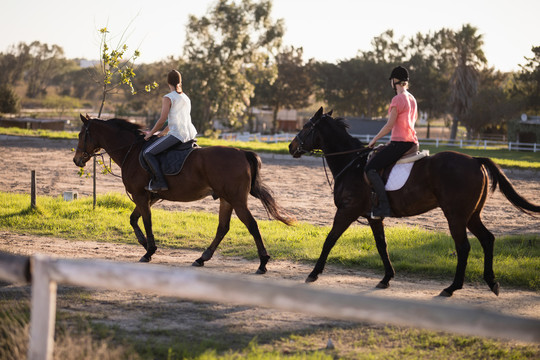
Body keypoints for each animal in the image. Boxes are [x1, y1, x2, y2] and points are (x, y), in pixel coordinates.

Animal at [73, 114, 292, 272]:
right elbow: (133, 219)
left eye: (81, 135)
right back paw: (202, 258)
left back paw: (263, 263)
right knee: (223, 228)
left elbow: (146, 221)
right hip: (226, 199)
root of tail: (242, 152)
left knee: (252, 225)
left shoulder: (141, 196)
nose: (77, 160)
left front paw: (149, 251)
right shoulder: (148, 197)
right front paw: (145, 244)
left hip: (237, 200)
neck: (132, 151)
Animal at [292, 108, 540, 296]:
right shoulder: (374, 217)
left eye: (306, 126)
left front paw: (313, 273)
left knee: (463, 247)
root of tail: (475, 160)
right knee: (487, 239)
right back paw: (491, 282)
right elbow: (381, 245)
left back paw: (452, 288)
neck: (353, 163)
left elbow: (329, 240)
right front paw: (386, 278)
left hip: (456, 216)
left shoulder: (347, 211)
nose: (290, 146)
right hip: (472, 216)